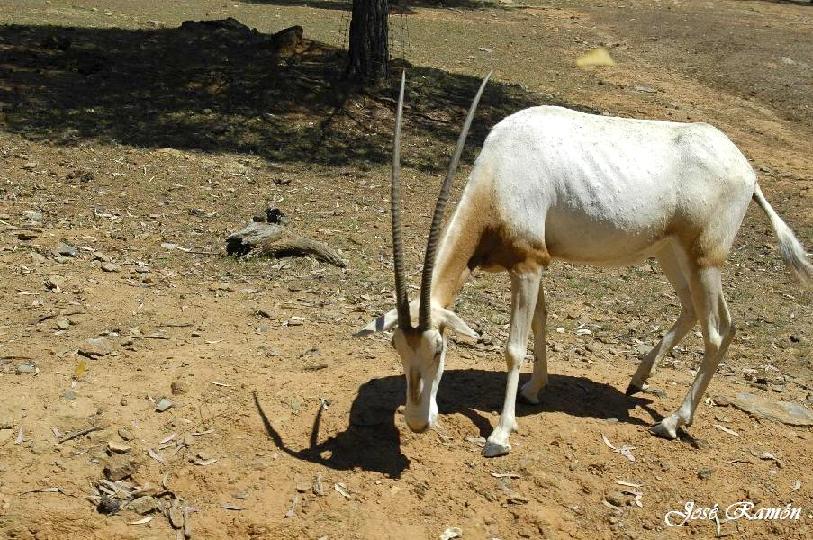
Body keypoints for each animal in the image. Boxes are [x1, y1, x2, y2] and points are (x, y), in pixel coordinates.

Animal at [360, 74, 812, 458]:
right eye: (397, 346)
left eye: (439, 348)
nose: (417, 422)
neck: (503, 169)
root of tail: (748, 173)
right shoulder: (537, 261)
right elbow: (541, 319)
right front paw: (534, 390)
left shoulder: (527, 265)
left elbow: (513, 347)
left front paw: (501, 434)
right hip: (674, 255)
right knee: (707, 316)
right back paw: (638, 379)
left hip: (703, 261)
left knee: (716, 334)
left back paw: (670, 422)